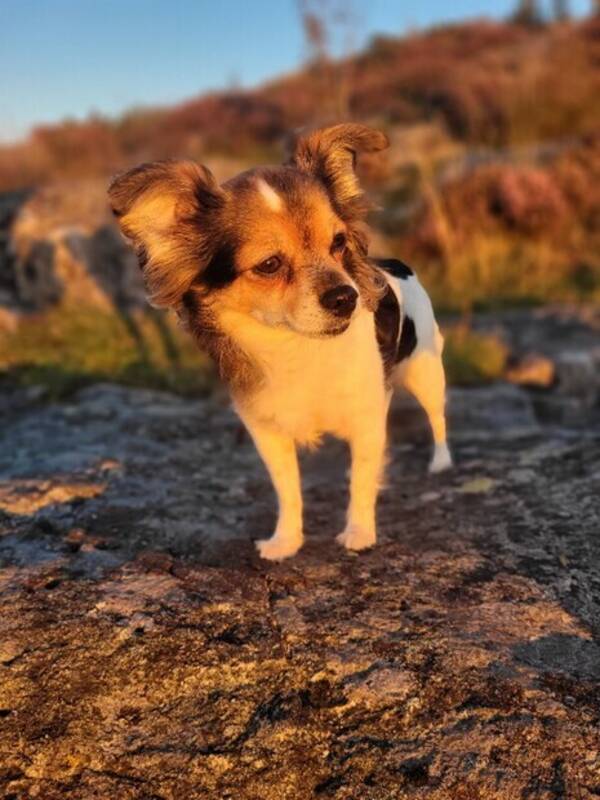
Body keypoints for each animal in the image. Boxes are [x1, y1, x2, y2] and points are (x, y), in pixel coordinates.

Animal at [109, 123, 450, 564]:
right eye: (269, 265)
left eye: (339, 243)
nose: (346, 296)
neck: (295, 347)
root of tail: (397, 263)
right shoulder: (268, 433)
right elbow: (289, 491)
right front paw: (286, 541)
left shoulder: (366, 418)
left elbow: (361, 484)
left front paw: (359, 532)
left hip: (427, 373)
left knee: (437, 418)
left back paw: (441, 462)